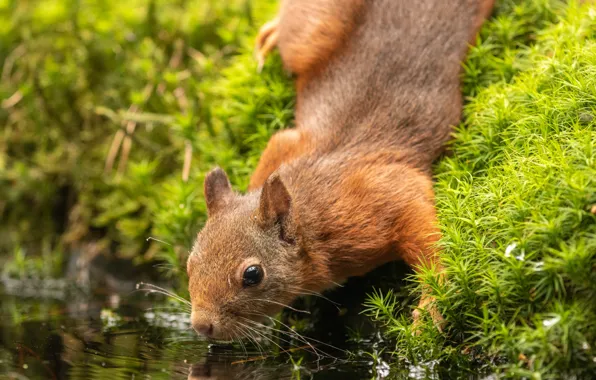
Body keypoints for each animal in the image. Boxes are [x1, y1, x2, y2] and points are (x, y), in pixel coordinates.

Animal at [186, 0, 494, 342]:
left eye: (253, 275)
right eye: (190, 262)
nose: (201, 325)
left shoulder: (383, 191)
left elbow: (426, 235)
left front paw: (431, 305)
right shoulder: (287, 144)